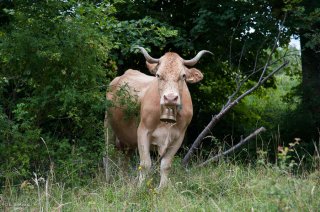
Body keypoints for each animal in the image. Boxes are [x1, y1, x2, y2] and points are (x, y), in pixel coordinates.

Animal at [105, 47, 212, 188]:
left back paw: (123, 179)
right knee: (108, 154)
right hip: (108, 126)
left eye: (183, 76)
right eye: (158, 75)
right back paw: (108, 179)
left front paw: (162, 188)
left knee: (124, 160)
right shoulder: (143, 131)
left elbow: (166, 165)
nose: (170, 98)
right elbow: (145, 164)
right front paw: (140, 188)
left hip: (128, 139)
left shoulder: (178, 137)